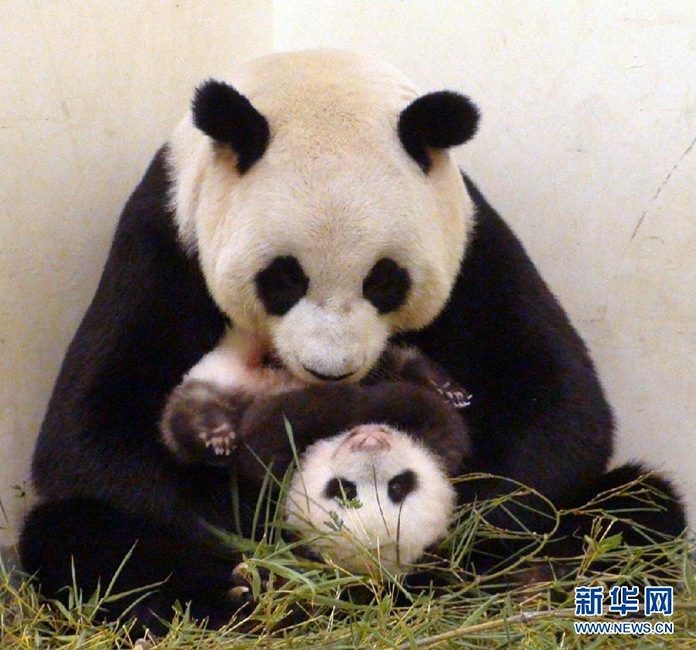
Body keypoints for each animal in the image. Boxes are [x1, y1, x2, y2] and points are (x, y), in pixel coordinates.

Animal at [19, 49, 686, 631]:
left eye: (384, 280)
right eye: (282, 278)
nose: (331, 373)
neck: (316, 81)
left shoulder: (473, 242)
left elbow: (560, 412)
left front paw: (450, 514)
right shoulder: (164, 240)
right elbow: (94, 440)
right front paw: (269, 519)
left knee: (634, 506)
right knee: (76, 539)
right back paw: (228, 591)